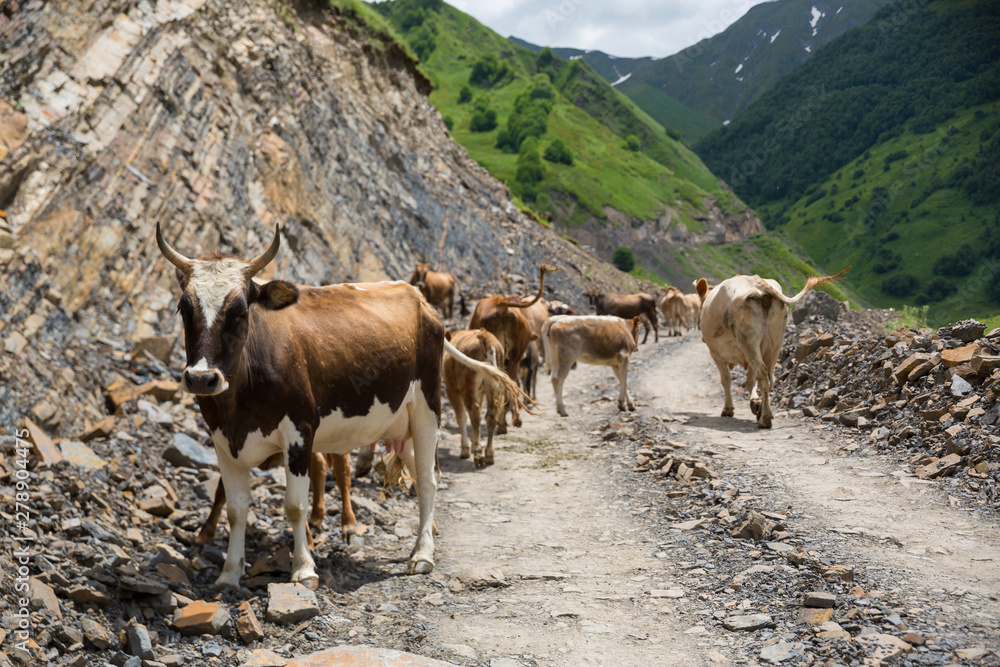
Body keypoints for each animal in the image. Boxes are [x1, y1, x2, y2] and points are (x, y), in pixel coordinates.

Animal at [443, 329, 505, 468]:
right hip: (493, 387)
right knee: (491, 415)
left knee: (474, 415)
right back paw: (489, 454)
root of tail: (485, 335)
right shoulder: (480, 393)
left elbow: (461, 418)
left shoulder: (452, 390)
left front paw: (466, 449)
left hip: (467, 387)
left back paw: (478, 454)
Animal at [468, 264, 557, 431]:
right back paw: (515, 419)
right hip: (515, 357)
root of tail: (503, 305)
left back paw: (502, 423)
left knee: (504, 383)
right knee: (512, 382)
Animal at [697, 269, 848, 429]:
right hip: (775, 341)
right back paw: (764, 411)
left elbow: (727, 380)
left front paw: (728, 409)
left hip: (748, 342)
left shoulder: (716, 354)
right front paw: (755, 403)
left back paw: (764, 419)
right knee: (770, 377)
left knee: (762, 373)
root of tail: (757, 282)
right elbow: (750, 381)